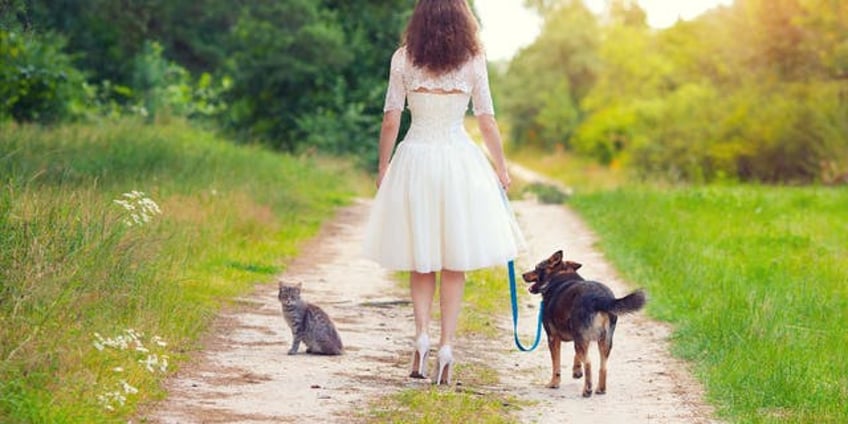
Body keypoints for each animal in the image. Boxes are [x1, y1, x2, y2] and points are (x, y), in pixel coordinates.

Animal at [520, 250, 644, 396]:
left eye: (536, 268)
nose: (523, 275)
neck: (559, 276)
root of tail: (599, 298)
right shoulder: (581, 337)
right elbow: (577, 357)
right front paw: (577, 370)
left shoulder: (553, 338)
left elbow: (556, 364)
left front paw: (554, 383)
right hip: (604, 341)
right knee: (603, 366)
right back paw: (600, 389)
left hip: (584, 339)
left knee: (589, 363)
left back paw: (587, 390)